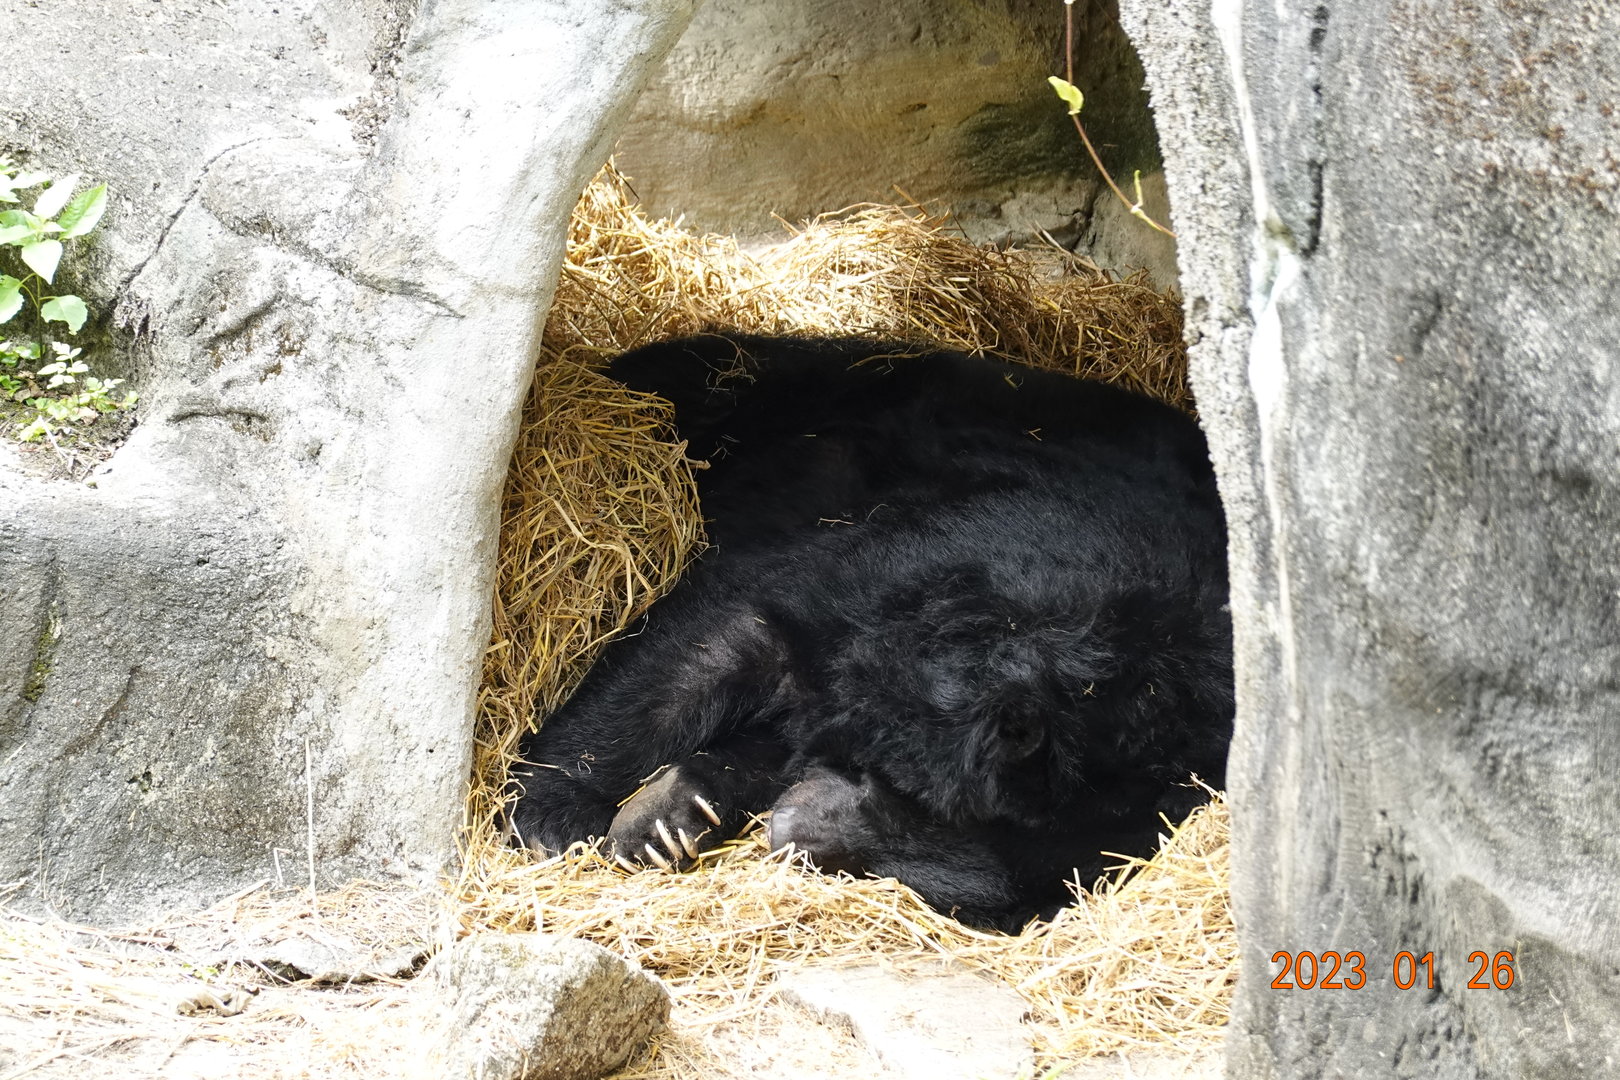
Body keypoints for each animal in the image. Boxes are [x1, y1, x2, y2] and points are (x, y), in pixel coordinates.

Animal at [507, 332, 1233, 931]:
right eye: (904, 799)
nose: (792, 832)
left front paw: (675, 812)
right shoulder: (942, 555)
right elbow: (725, 637)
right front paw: (552, 816)